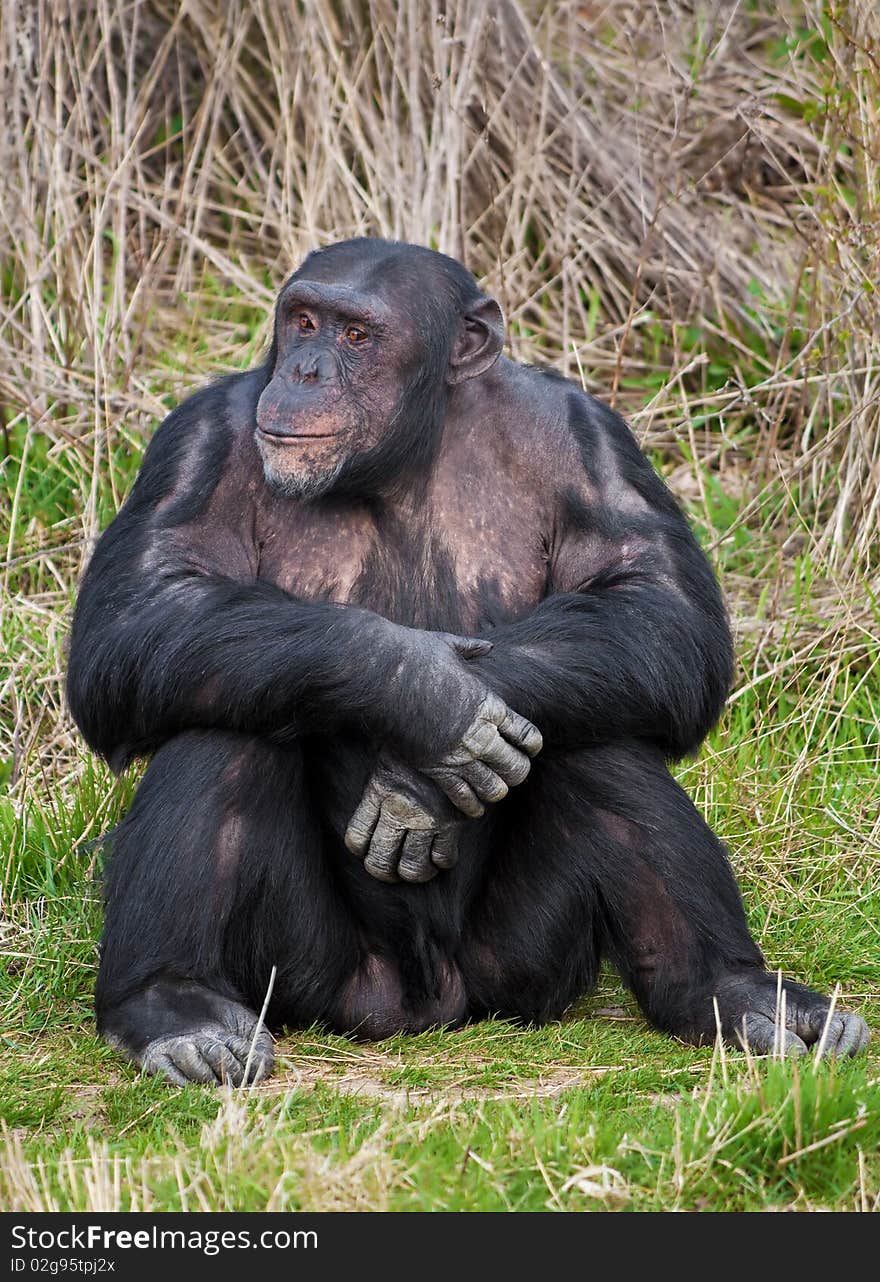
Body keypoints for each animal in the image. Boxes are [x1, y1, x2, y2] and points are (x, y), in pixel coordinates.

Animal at [67, 238, 867, 1082]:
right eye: (304, 321)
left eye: (357, 336)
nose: (306, 370)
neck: (403, 455)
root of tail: (425, 1007)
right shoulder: (198, 444)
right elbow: (141, 613)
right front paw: (425, 696)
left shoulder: (591, 442)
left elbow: (657, 607)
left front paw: (418, 782)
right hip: (317, 977)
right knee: (221, 719)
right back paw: (174, 1007)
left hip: (521, 972)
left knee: (602, 734)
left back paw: (736, 991)